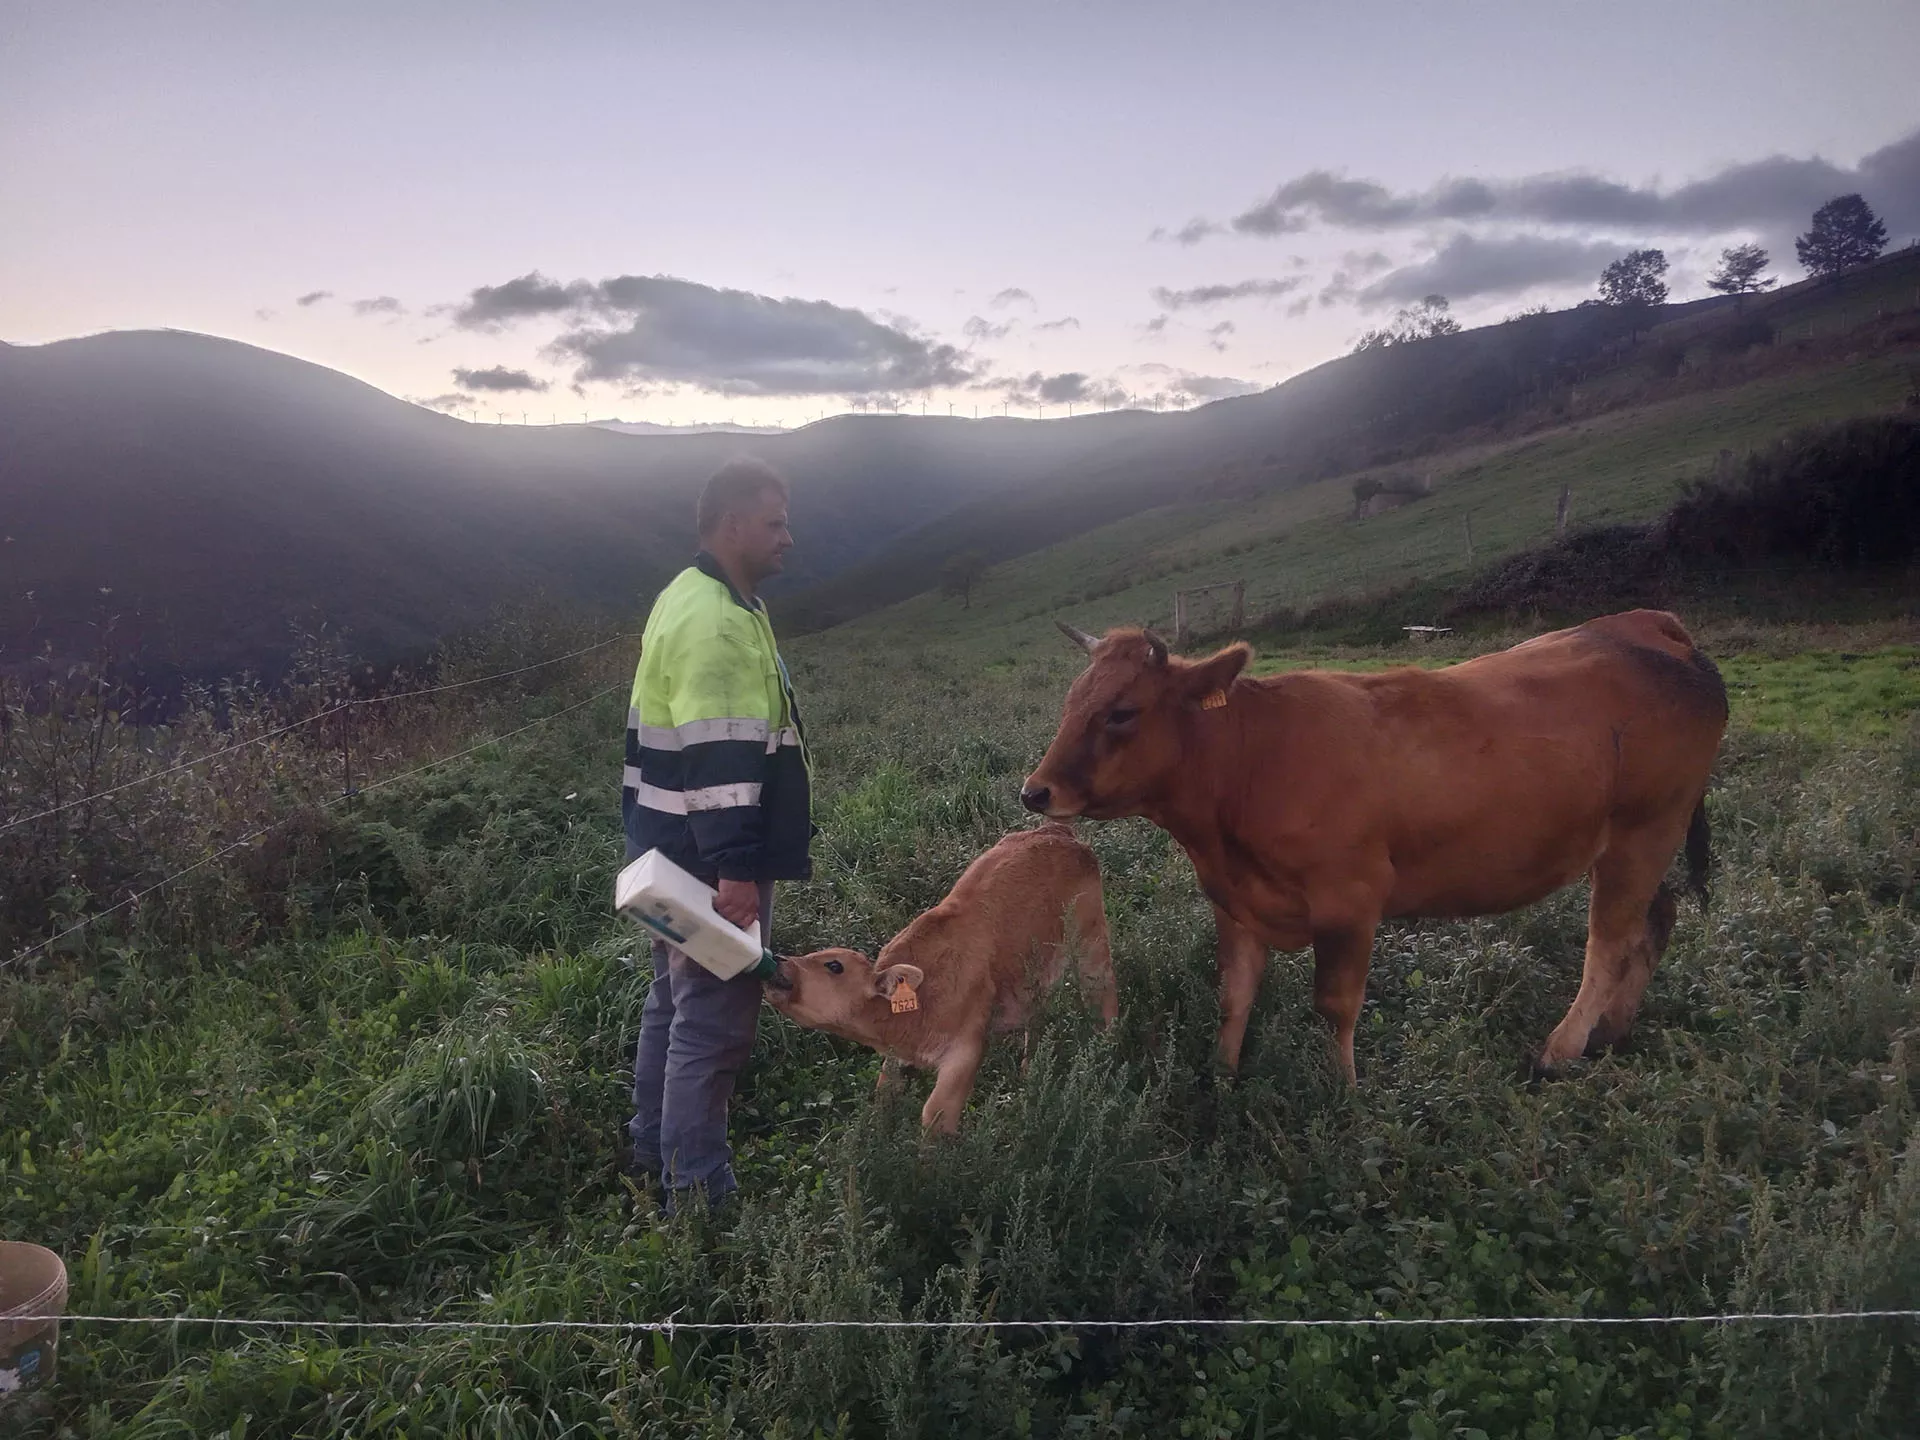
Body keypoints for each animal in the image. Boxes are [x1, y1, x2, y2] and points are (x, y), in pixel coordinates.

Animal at [764, 821, 1121, 1136]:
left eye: (834, 966)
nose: (779, 960)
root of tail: (1058, 832)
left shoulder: (966, 1049)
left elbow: (935, 1114)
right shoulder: (896, 1057)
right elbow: (884, 1093)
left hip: (1091, 945)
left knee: (1104, 996)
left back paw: (1107, 1055)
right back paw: (1029, 1070)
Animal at [1021, 610, 1728, 1082]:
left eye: (1121, 711)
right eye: (1071, 701)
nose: (1035, 791)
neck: (1251, 761)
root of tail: (1647, 624)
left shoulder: (1350, 902)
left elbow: (1334, 1007)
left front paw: (1341, 1093)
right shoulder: (1233, 901)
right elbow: (1234, 995)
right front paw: (1223, 1077)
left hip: (1646, 831)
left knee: (1610, 942)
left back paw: (1562, 1049)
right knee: (1655, 920)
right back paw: (1612, 1030)